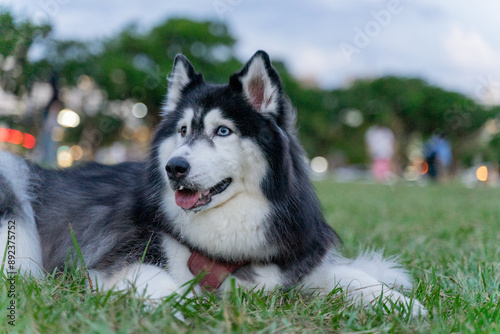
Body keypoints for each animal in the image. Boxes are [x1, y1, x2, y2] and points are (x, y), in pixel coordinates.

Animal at [0, 51, 426, 314]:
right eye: (183, 130)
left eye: (223, 131)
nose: (174, 167)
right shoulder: (119, 263)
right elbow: (167, 289)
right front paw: (185, 308)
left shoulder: (291, 266)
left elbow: (350, 275)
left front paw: (401, 302)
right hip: (13, 189)